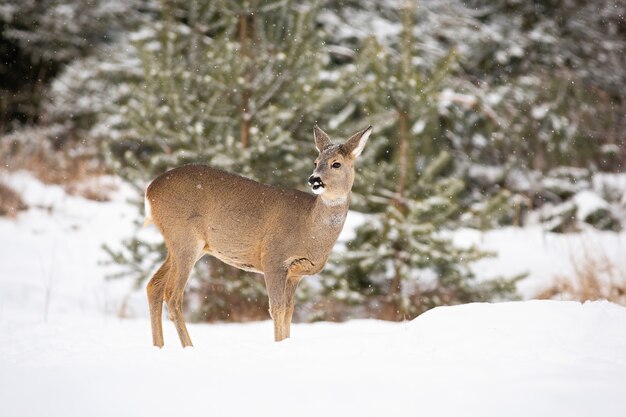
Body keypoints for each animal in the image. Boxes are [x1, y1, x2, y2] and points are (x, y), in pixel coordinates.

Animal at [143, 124, 370, 344]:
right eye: (316, 162)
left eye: (336, 164)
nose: (314, 180)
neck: (310, 231)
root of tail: (149, 190)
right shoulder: (273, 258)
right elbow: (276, 308)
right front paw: (279, 345)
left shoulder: (296, 274)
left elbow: (289, 310)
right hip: (185, 238)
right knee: (172, 295)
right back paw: (188, 347)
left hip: (188, 246)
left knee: (154, 285)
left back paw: (159, 346)